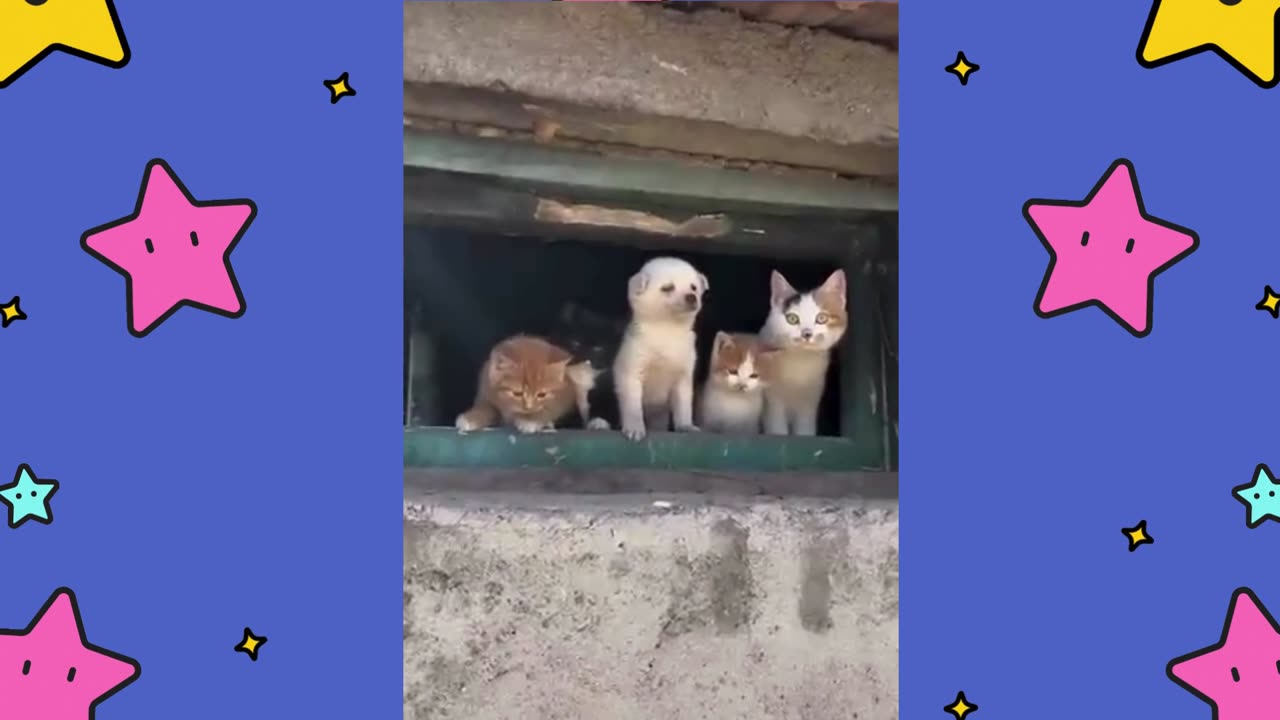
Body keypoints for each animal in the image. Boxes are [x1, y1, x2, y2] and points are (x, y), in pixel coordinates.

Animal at [453, 335, 591, 430]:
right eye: (517, 393)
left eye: (542, 395)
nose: (528, 407)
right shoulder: (486, 392)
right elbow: (486, 408)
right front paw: (471, 418)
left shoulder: (564, 397)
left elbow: (548, 409)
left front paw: (531, 420)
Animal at [611, 254, 711, 440]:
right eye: (667, 288)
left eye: (693, 287)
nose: (691, 297)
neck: (667, 331)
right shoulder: (632, 373)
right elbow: (633, 407)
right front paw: (635, 427)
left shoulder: (683, 377)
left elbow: (683, 407)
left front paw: (685, 426)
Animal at [757, 269, 849, 435]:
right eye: (792, 319)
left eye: (822, 318)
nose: (806, 333)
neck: (800, 361)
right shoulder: (773, 402)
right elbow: (777, 427)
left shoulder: (810, 402)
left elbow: (805, 429)